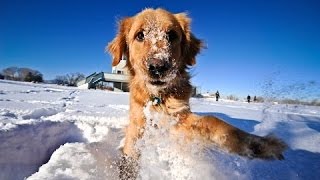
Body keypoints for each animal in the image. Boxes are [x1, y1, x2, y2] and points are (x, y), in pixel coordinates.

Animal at [108, 8, 288, 177]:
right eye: (140, 35)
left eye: (171, 35)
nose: (158, 67)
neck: (158, 97)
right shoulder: (138, 123)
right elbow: (130, 153)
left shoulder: (179, 119)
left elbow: (212, 120)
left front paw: (257, 144)